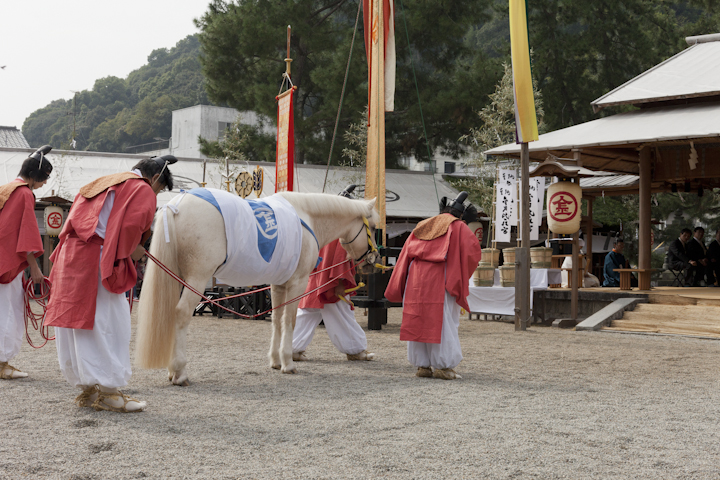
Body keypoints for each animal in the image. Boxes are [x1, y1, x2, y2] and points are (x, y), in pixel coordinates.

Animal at [135, 189, 379, 385]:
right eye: (374, 227)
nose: (374, 259)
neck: (307, 217)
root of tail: (176, 205)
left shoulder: (279, 284)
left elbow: (276, 320)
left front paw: (275, 361)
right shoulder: (298, 282)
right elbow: (289, 320)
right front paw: (288, 363)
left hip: (178, 278)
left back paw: (170, 371)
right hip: (196, 279)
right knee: (182, 314)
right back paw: (180, 373)